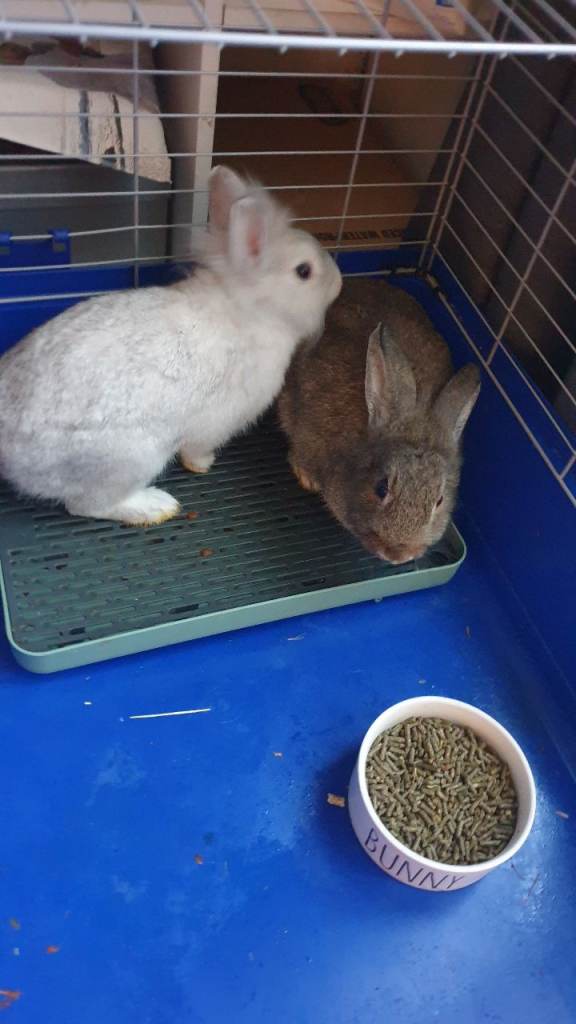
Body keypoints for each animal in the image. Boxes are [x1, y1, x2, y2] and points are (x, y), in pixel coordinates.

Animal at [0, 166, 342, 525]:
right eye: (304, 271)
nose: (340, 280)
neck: (250, 309)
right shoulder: (217, 421)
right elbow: (196, 449)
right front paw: (203, 464)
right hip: (132, 459)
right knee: (85, 505)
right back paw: (156, 506)